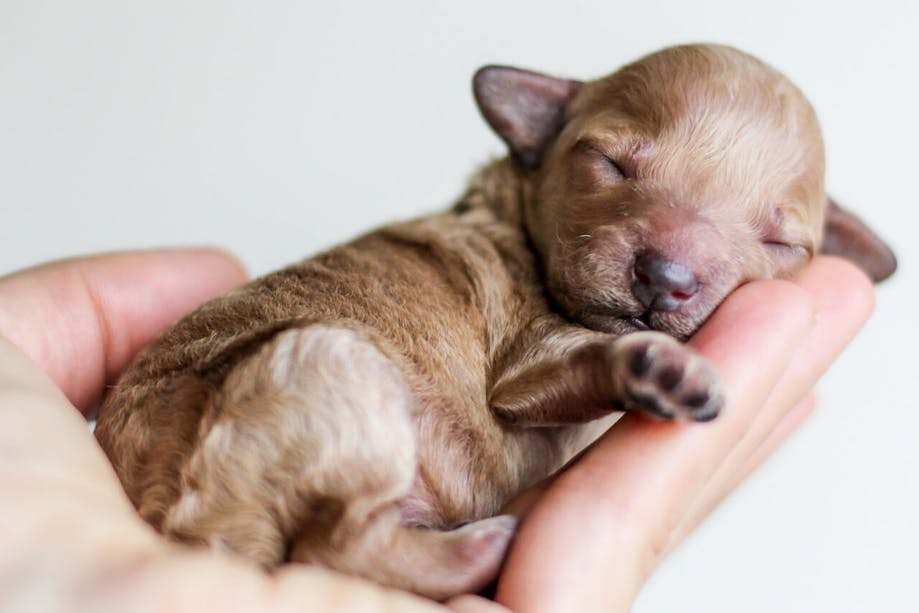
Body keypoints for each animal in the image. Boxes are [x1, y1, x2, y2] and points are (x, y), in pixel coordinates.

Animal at [95, 45, 900, 600]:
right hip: (333, 366)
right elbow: (580, 357)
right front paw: (654, 366)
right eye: (610, 163)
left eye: (781, 243)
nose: (665, 276)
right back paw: (479, 548)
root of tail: (172, 514)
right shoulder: (527, 358)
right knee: (334, 543)